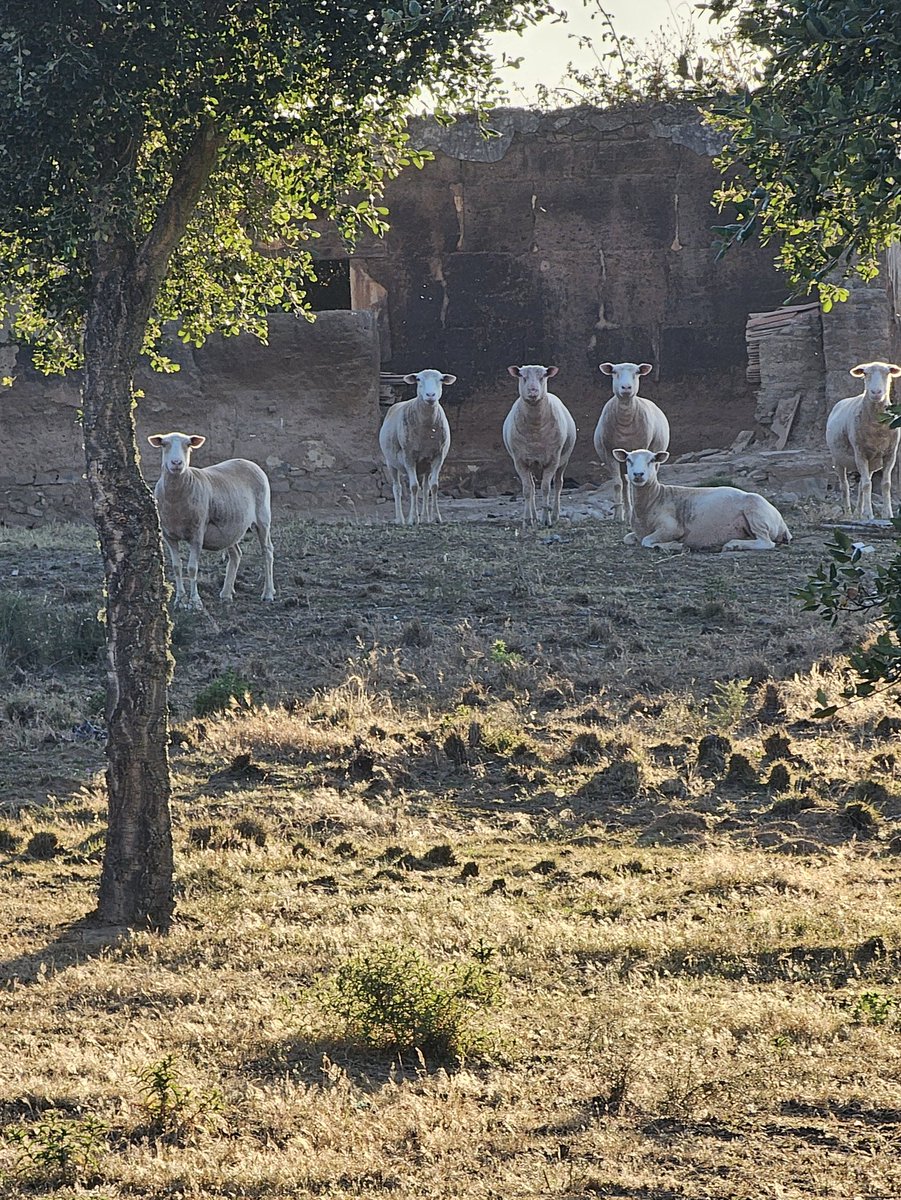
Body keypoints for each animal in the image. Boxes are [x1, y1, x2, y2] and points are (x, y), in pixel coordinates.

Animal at [148, 434, 277, 614]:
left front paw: (195, 602)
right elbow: (176, 567)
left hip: (263, 517)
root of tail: (248, 462)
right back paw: (226, 593)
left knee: (267, 552)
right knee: (236, 554)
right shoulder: (169, 536)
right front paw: (180, 600)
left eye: (188, 445)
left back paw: (268, 593)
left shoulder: (197, 533)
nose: (176, 463)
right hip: (230, 527)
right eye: (164, 444)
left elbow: (192, 568)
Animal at [379, 367, 458, 523]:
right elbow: (414, 487)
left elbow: (434, 486)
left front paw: (436, 517)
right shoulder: (409, 456)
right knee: (397, 488)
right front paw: (411, 519)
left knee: (426, 488)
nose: (430, 395)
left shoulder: (438, 456)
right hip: (391, 463)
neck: (427, 429)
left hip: (425, 466)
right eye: (418, 379)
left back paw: (425, 517)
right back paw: (401, 519)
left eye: (441, 379)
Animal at [501, 362, 578, 528]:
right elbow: (527, 490)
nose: (533, 391)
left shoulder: (553, 460)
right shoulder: (520, 461)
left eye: (543, 376)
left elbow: (546, 488)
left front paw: (546, 519)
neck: (535, 430)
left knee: (558, 484)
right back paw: (534, 517)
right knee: (531, 487)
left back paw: (554, 516)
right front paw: (527, 520)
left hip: (564, 460)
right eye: (522, 376)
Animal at [592, 357, 671, 523]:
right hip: (622, 462)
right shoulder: (609, 453)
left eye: (637, 372)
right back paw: (626, 513)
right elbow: (617, 485)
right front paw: (618, 516)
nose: (626, 387)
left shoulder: (642, 448)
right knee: (625, 483)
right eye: (614, 372)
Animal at [825, 360, 901, 520]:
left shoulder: (890, 454)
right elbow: (866, 485)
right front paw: (869, 514)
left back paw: (858, 513)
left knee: (861, 486)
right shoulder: (860, 453)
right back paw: (849, 513)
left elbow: (885, 484)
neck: (878, 428)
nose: (876, 392)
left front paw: (887, 514)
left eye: (887, 373)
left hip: (871, 463)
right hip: (838, 459)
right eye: (865, 374)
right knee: (845, 486)